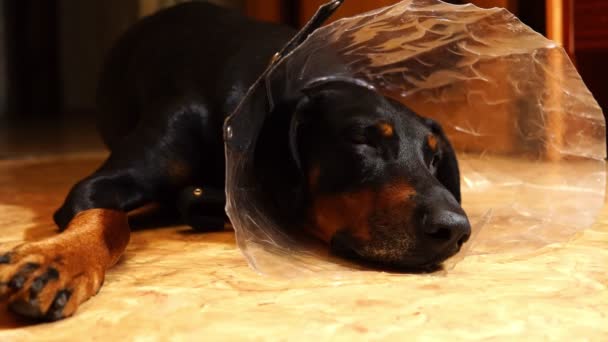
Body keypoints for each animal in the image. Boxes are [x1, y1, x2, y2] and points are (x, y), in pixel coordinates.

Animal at [0, 2, 470, 320]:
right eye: (361, 139)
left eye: (433, 158)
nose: (455, 229)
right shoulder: (101, 184)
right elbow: (107, 216)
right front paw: (54, 263)